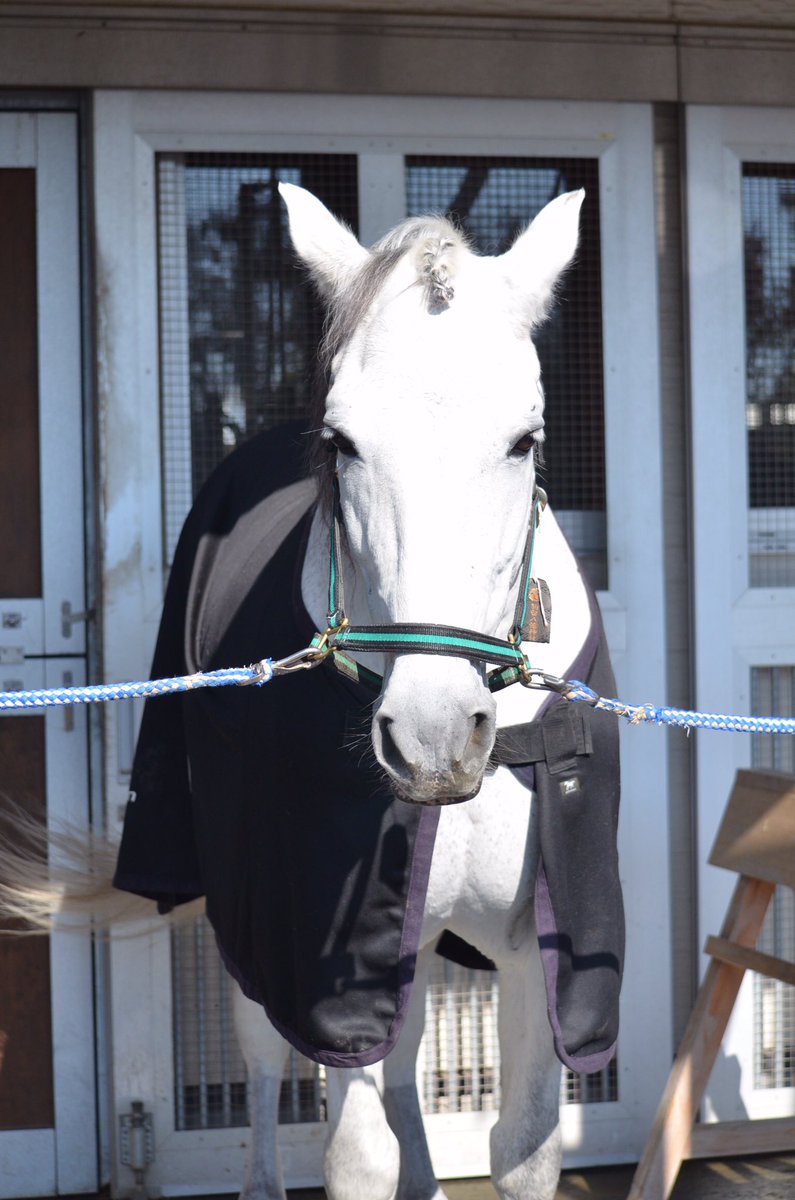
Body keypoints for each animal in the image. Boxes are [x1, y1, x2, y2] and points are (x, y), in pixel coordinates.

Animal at [0, 183, 623, 1200]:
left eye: (524, 440)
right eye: (342, 443)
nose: (433, 737)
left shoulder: (542, 952)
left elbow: (523, 1145)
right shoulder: (322, 966)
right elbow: (356, 1153)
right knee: (262, 1061)